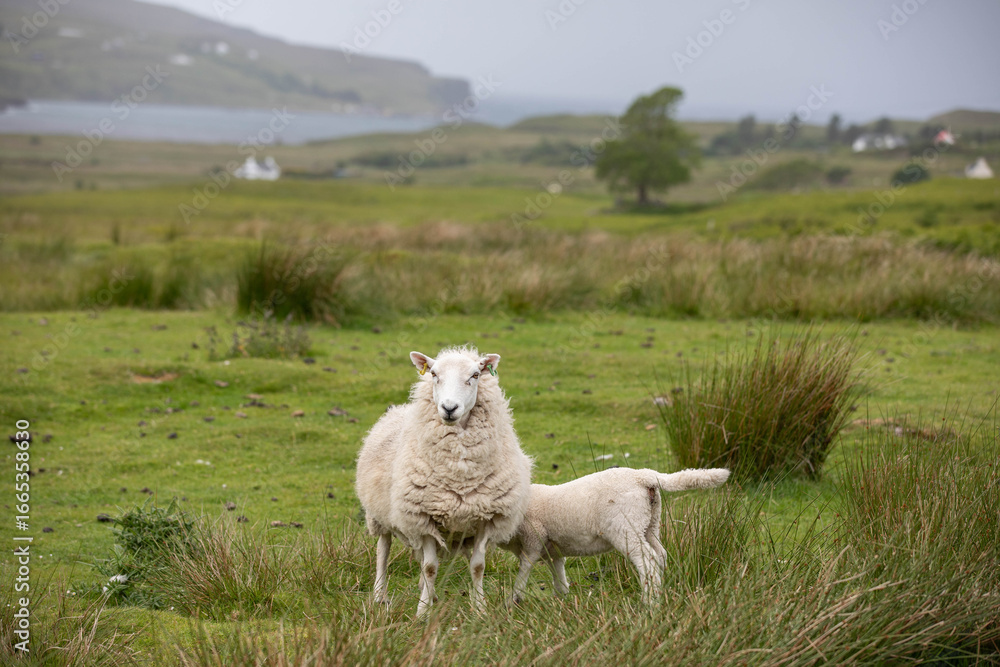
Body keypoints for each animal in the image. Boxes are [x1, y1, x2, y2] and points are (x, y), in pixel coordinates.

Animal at [355, 346, 533, 615]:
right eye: (434, 374)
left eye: (475, 375)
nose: (449, 408)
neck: (458, 472)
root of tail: (397, 409)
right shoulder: (423, 515)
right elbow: (430, 568)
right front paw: (421, 613)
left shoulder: (486, 518)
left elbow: (477, 567)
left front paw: (480, 610)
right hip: (381, 515)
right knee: (382, 549)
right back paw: (380, 595)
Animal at [499, 466, 730, 605]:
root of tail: (643, 475)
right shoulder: (552, 547)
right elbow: (558, 570)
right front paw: (562, 596)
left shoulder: (533, 538)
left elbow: (525, 568)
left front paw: (513, 599)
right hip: (649, 524)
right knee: (660, 554)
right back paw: (660, 590)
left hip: (626, 527)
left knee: (647, 559)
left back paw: (649, 601)